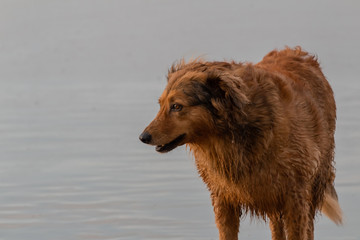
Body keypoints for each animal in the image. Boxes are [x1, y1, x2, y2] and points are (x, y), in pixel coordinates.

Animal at [139, 47, 342, 240]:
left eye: (177, 106)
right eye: (161, 105)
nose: (143, 137)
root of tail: (299, 53)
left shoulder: (296, 197)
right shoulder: (223, 198)